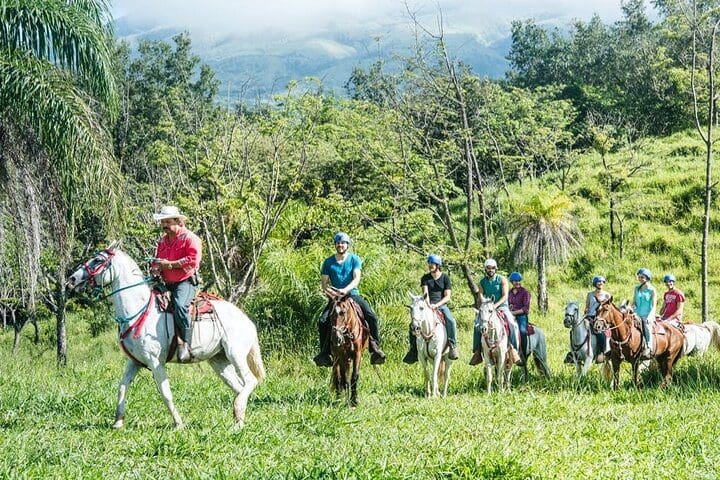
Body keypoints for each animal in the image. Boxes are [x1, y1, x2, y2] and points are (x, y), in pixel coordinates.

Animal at [65, 246, 264, 430]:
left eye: (98, 260)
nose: (71, 280)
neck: (139, 311)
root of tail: (248, 321)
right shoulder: (134, 362)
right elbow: (122, 387)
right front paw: (118, 422)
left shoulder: (156, 362)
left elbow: (165, 393)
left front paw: (178, 423)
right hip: (219, 361)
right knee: (239, 386)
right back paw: (239, 421)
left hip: (235, 354)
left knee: (250, 381)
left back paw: (237, 415)